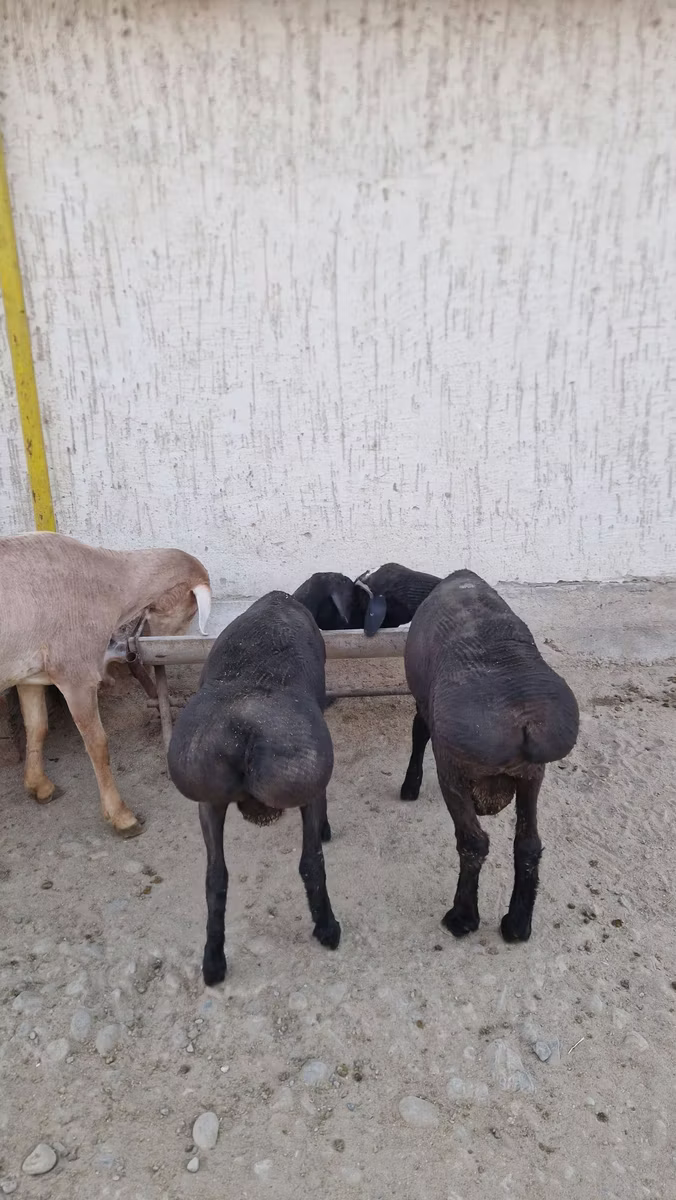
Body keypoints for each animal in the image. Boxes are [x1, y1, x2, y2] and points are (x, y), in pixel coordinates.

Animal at [0, 531, 211, 837]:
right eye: (191, 610)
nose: (163, 653)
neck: (110, 585)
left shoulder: (29, 673)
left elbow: (37, 727)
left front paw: (39, 786)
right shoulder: (76, 674)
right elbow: (98, 745)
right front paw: (121, 816)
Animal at [167, 591, 340, 985]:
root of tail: (243, 730)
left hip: (206, 796)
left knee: (215, 878)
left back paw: (213, 962)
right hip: (307, 780)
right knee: (311, 862)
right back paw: (328, 928)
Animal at [400, 570, 579, 942]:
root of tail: (523, 718)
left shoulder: (424, 705)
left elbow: (418, 731)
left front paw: (410, 786)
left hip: (452, 770)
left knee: (473, 842)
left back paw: (462, 917)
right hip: (532, 774)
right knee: (527, 843)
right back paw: (518, 923)